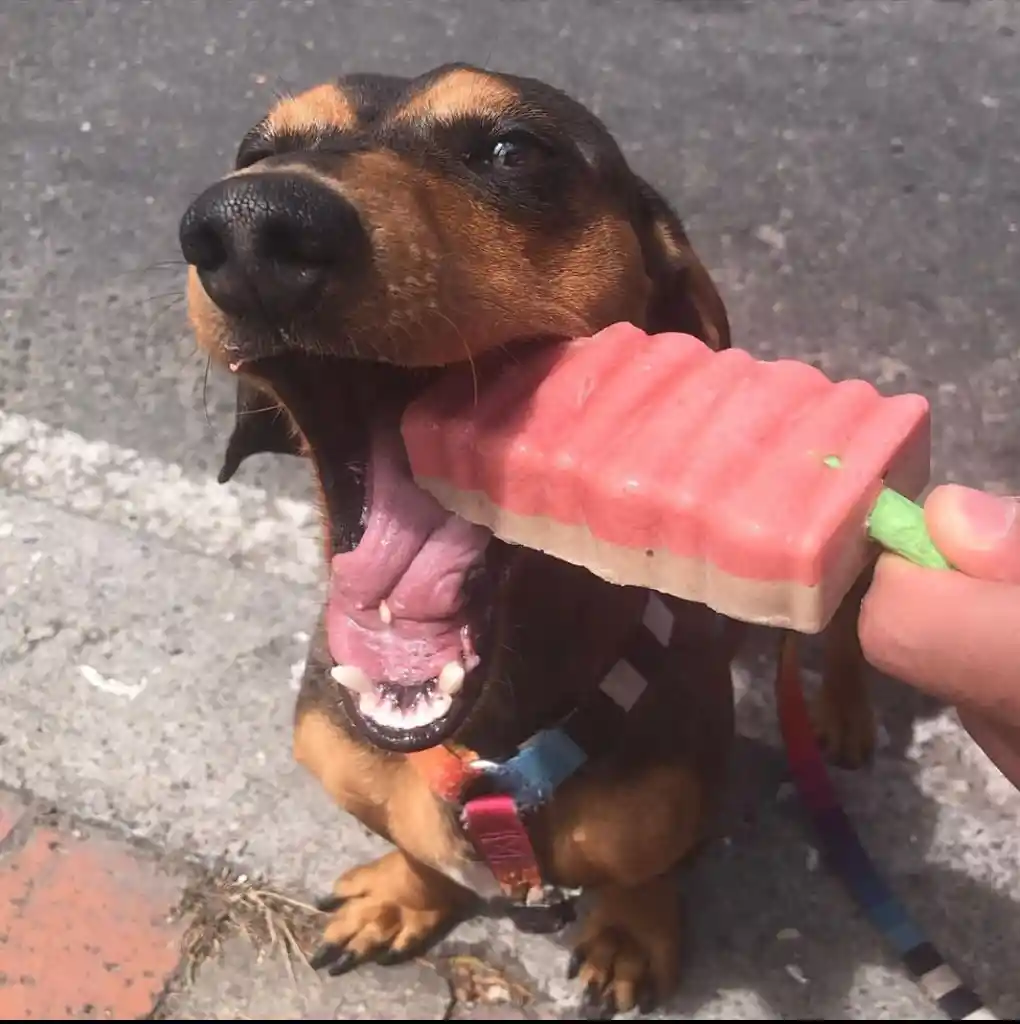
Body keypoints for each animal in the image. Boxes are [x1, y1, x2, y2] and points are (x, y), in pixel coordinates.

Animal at [177, 64, 876, 1015]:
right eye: (259, 151)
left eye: (513, 150)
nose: (251, 225)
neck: (483, 749)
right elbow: (418, 855)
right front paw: (404, 897)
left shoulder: (673, 809)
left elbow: (642, 876)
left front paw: (629, 936)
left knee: (844, 633)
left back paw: (843, 712)